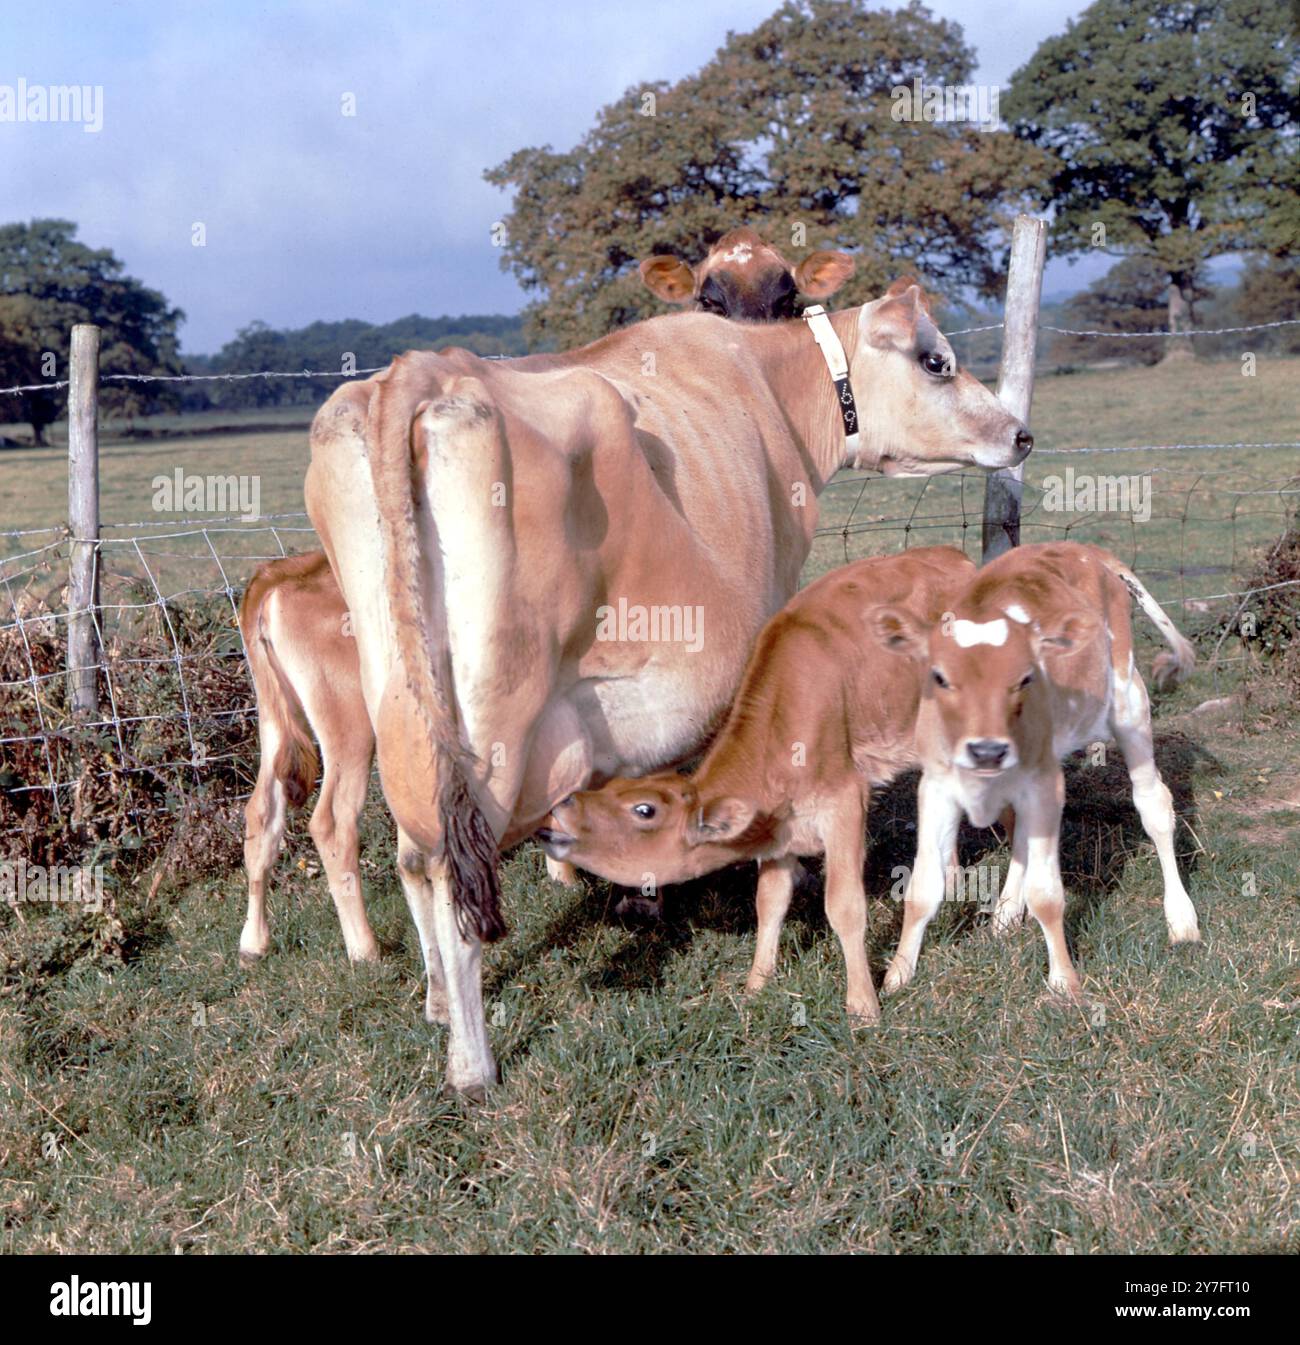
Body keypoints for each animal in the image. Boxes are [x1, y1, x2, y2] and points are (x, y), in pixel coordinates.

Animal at [237, 236, 854, 964]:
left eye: (788, 297)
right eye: (710, 297)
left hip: (295, 719)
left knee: (266, 813)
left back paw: (256, 940)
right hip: (368, 723)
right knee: (340, 822)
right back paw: (366, 948)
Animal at [537, 546, 976, 1023]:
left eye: (645, 809)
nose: (561, 805)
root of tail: (952, 555)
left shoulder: (843, 801)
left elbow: (844, 906)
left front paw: (863, 1004)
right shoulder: (779, 827)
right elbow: (769, 902)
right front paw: (756, 985)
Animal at [865, 541, 1201, 1000]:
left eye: (1024, 678)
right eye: (940, 676)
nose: (986, 748)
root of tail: (1080, 548)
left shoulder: (1043, 783)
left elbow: (1047, 893)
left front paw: (1064, 983)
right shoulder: (937, 787)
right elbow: (922, 887)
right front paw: (898, 975)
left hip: (1129, 701)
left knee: (1154, 805)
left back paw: (1181, 919)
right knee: (1023, 835)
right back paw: (1006, 915)